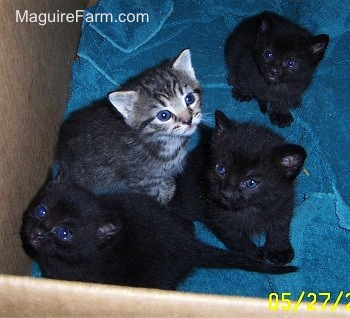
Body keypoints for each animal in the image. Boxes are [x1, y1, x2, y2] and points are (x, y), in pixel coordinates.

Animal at [56, 49, 201, 204]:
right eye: (164, 115)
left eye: (189, 99)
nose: (189, 120)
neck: (165, 141)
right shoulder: (142, 181)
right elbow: (154, 195)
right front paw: (163, 200)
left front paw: (168, 187)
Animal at [172, 110, 306, 264]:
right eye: (221, 169)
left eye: (251, 183)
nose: (226, 193)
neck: (252, 207)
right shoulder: (218, 216)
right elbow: (236, 238)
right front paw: (253, 254)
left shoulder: (284, 201)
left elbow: (281, 225)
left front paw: (279, 250)